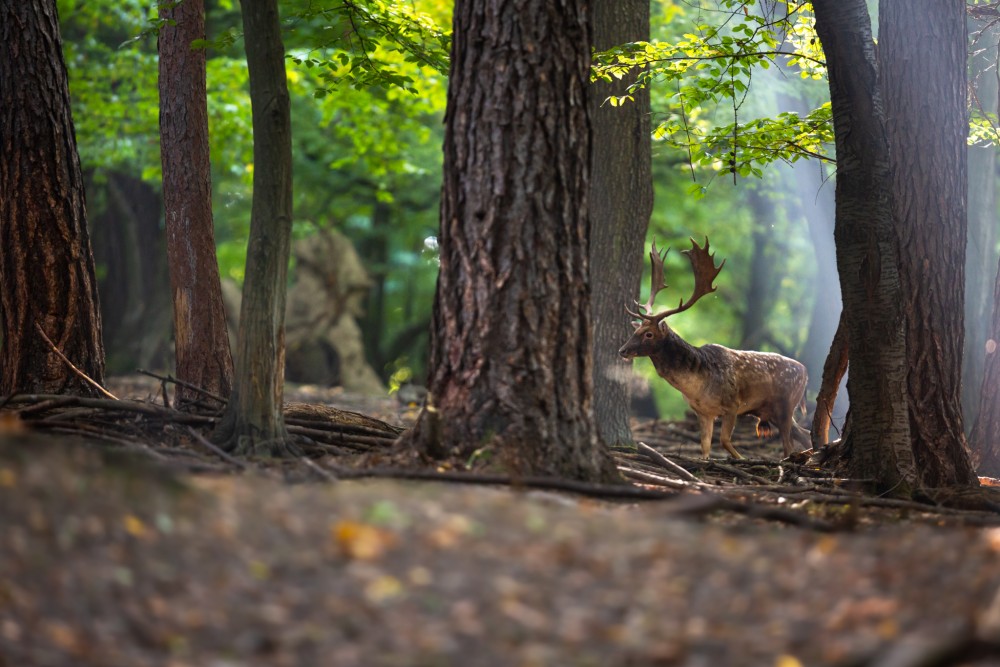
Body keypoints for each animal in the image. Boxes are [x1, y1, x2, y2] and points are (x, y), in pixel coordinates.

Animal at [620, 237, 808, 462]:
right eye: (636, 330)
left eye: (648, 334)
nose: (622, 350)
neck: (697, 386)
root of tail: (806, 373)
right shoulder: (703, 412)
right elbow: (705, 446)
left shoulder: (733, 404)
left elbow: (724, 440)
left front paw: (741, 459)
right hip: (770, 410)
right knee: (804, 434)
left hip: (787, 403)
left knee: (790, 442)